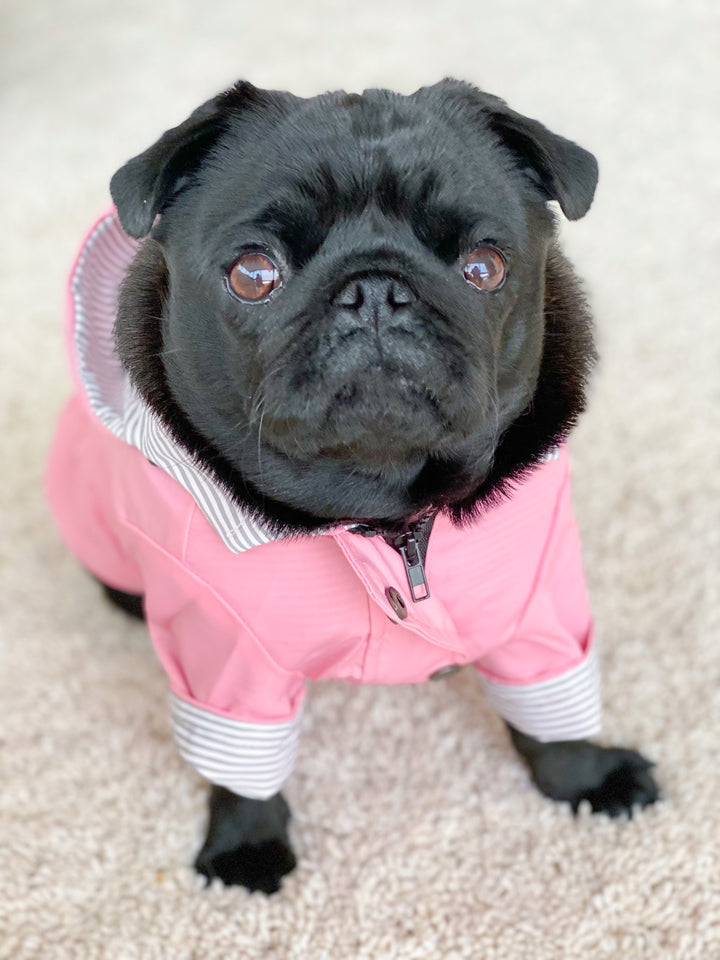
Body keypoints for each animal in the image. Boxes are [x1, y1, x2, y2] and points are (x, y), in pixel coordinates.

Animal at [45, 79, 660, 896]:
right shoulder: (228, 663)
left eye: (484, 267)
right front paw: (244, 843)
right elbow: (243, 770)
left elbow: (551, 712)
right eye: (254, 274)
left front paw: (586, 778)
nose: (374, 291)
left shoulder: (538, 610)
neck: (384, 514)